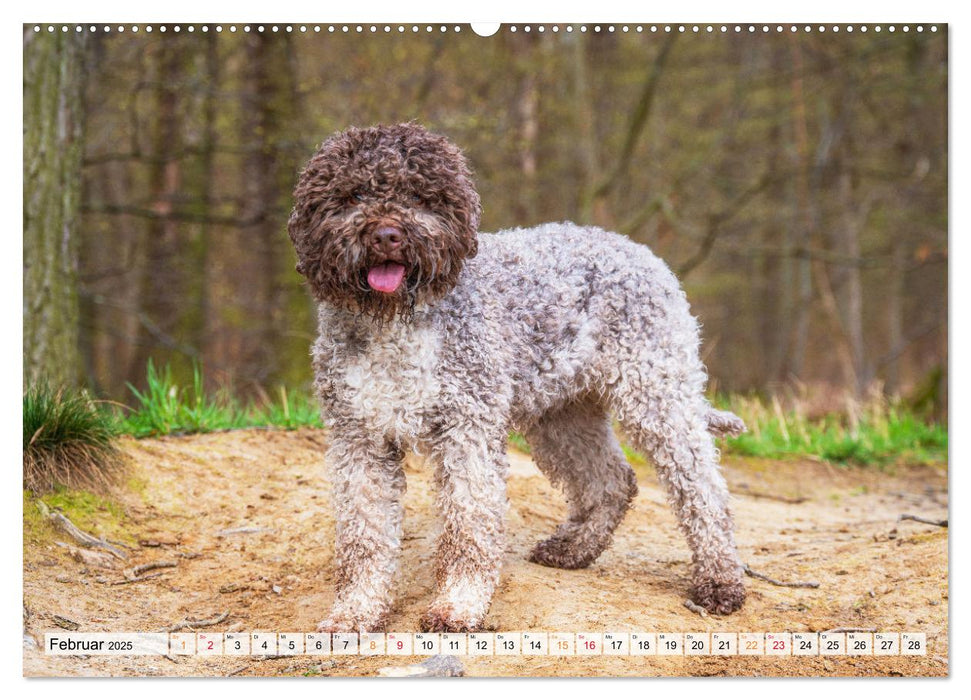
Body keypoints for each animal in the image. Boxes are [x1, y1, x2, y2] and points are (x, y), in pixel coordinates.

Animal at [284, 121, 748, 636]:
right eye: (355, 194)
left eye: (419, 196)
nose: (388, 236)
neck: (396, 324)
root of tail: (641, 253)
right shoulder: (359, 440)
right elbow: (363, 537)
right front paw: (356, 612)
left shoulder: (467, 431)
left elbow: (469, 526)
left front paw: (458, 606)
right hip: (563, 415)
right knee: (613, 479)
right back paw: (573, 549)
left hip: (656, 396)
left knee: (704, 491)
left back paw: (720, 582)